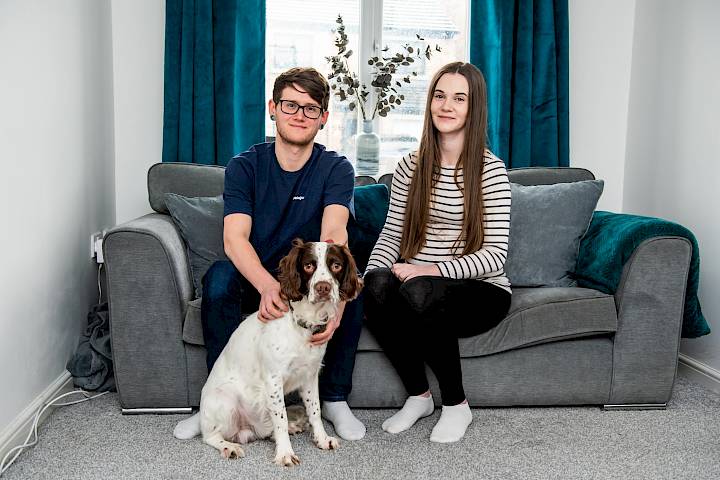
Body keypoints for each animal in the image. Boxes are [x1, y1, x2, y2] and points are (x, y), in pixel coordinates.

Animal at [198, 239, 360, 464]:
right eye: (308, 266)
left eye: (336, 265)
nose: (323, 288)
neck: (301, 324)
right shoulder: (273, 379)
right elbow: (280, 418)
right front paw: (285, 453)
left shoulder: (309, 375)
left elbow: (315, 410)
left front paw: (322, 439)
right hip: (225, 400)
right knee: (211, 436)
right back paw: (229, 447)